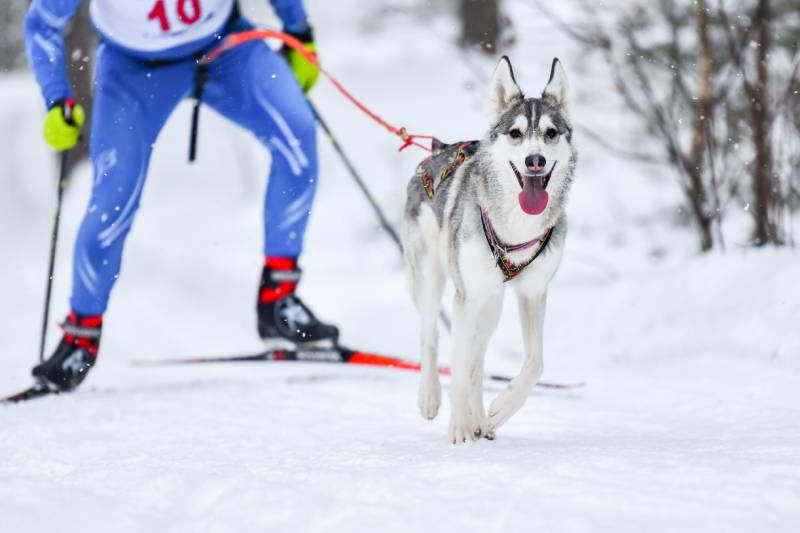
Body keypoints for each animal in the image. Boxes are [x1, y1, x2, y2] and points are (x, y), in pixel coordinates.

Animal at [400, 56, 576, 442]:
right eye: (516, 133)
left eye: (551, 133)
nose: (535, 161)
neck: (517, 226)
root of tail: (436, 151)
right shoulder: (466, 297)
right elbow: (458, 367)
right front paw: (458, 430)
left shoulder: (533, 293)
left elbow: (535, 363)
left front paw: (499, 409)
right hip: (435, 279)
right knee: (431, 334)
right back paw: (431, 397)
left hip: (492, 302)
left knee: (477, 362)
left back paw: (481, 419)